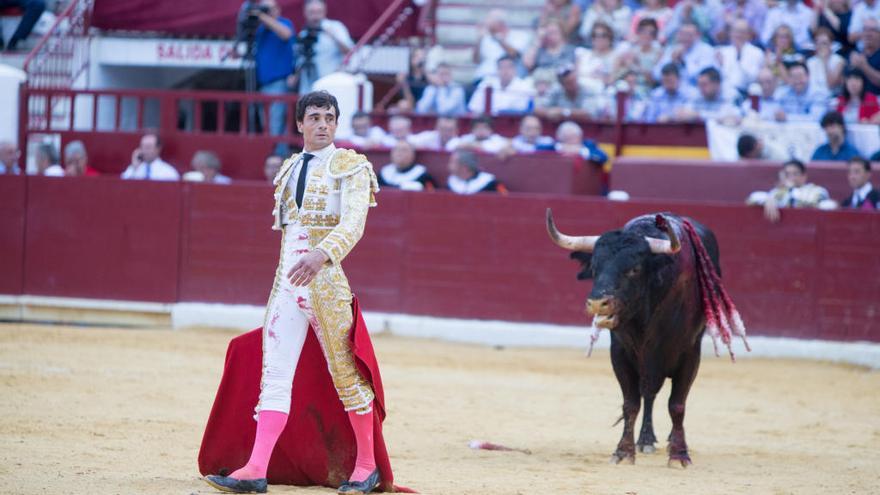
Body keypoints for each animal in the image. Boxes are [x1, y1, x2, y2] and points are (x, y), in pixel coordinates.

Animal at [548, 209, 744, 468]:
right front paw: (623, 452)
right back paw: (646, 439)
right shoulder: (620, 353)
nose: (598, 303)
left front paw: (679, 454)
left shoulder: (690, 353)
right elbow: (632, 403)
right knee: (648, 393)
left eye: (634, 269)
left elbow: (677, 405)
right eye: (595, 268)